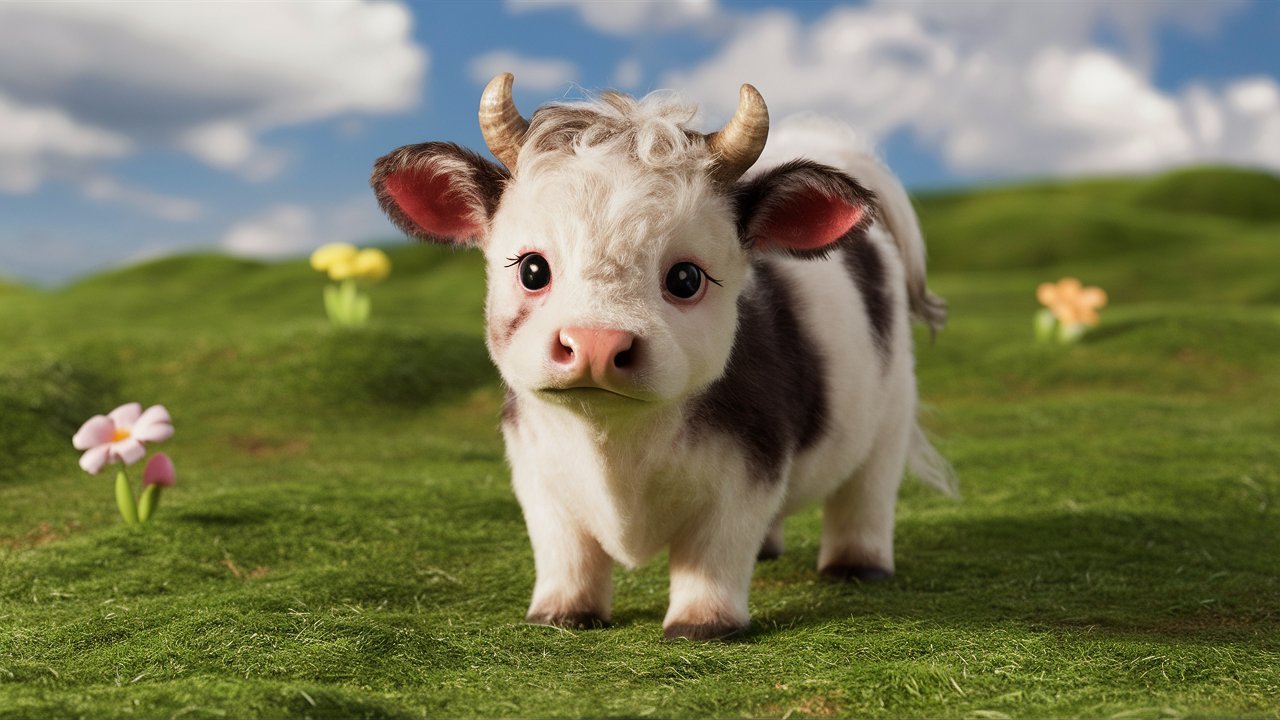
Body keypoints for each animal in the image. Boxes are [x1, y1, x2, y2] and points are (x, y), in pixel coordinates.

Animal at [371, 73, 956, 641]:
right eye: (533, 269)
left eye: (686, 277)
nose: (596, 343)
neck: (614, 448)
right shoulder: (536, 474)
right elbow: (565, 552)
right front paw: (560, 614)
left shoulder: (747, 476)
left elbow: (712, 558)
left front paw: (703, 623)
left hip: (891, 413)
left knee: (866, 494)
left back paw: (856, 565)